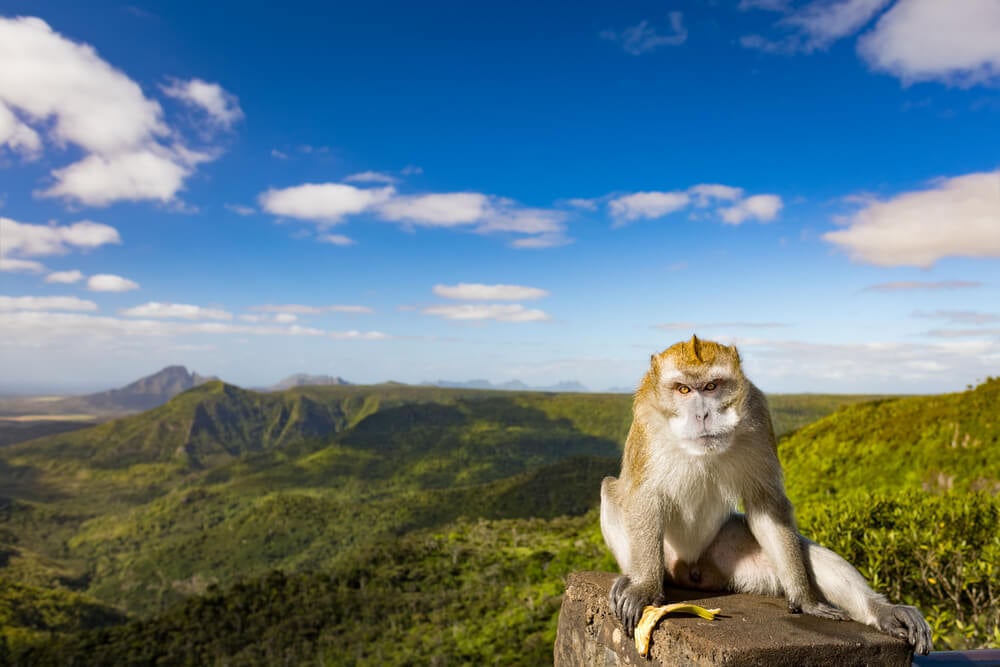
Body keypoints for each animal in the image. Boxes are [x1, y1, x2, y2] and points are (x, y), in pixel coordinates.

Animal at [600, 336, 936, 656]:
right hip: (668, 559)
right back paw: (630, 578)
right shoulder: (647, 425)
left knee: (802, 548)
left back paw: (880, 610)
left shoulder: (758, 415)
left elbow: (766, 504)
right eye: (683, 389)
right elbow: (644, 497)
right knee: (609, 489)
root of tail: (690, 568)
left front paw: (805, 598)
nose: (703, 414)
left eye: (711, 386)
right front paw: (644, 587)